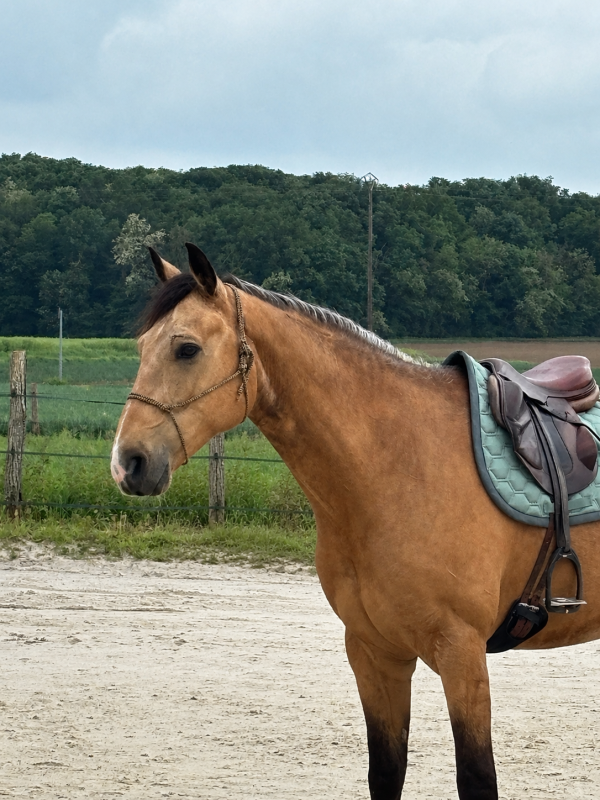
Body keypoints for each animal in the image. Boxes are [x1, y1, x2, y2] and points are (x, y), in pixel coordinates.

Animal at [110, 243, 600, 800]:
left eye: (186, 349)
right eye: (142, 347)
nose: (128, 463)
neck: (397, 462)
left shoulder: (462, 654)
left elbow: (476, 777)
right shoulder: (373, 653)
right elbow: (385, 770)